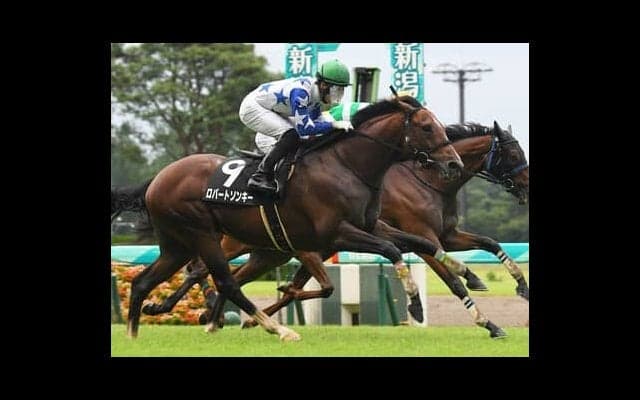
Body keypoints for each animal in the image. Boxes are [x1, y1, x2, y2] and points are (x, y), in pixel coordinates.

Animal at [114, 97, 464, 341]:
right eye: (426, 127)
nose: (454, 164)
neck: (347, 165)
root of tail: (158, 179)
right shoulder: (336, 234)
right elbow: (392, 250)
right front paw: (415, 304)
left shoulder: (370, 225)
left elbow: (422, 244)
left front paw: (464, 272)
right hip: (202, 233)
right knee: (224, 281)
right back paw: (276, 329)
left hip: (180, 243)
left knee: (145, 281)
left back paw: (137, 332)